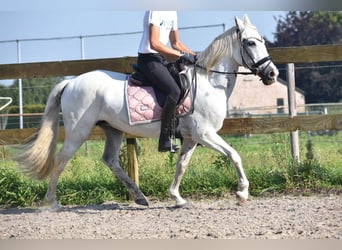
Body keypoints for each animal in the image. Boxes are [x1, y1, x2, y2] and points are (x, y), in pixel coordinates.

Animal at [16, 15, 278, 209]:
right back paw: (53, 203)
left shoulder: (192, 138)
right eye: (250, 43)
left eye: (262, 41)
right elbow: (234, 155)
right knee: (61, 160)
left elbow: (181, 165)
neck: (209, 83)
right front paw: (242, 194)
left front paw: (177, 197)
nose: (272, 73)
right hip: (79, 131)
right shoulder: (205, 134)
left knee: (110, 160)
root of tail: (71, 82)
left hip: (113, 130)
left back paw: (140, 197)